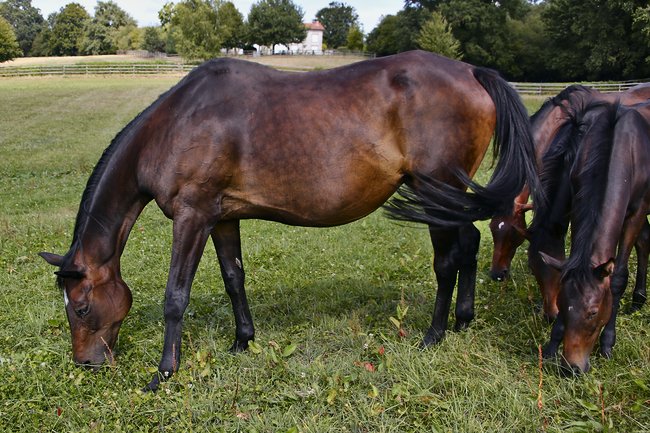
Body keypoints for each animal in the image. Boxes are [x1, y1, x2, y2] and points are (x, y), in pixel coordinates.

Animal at [39, 50, 540, 391]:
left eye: (80, 307)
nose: (86, 363)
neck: (178, 123)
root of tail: (472, 72)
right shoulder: (221, 218)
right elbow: (233, 278)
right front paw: (242, 342)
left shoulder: (192, 215)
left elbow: (175, 297)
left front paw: (163, 373)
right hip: (451, 198)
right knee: (470, 243)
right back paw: (463, 320)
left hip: (436, 193)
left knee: (447, 261)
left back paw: (434, 335)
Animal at [540, 101, 650, 373]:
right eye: (562, 303)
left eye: (592, 312)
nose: (572, 368)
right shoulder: (581, 204)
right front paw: (551, 346)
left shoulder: (636, 212)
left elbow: (618, 278)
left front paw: (608, 343)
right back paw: (638, 300)